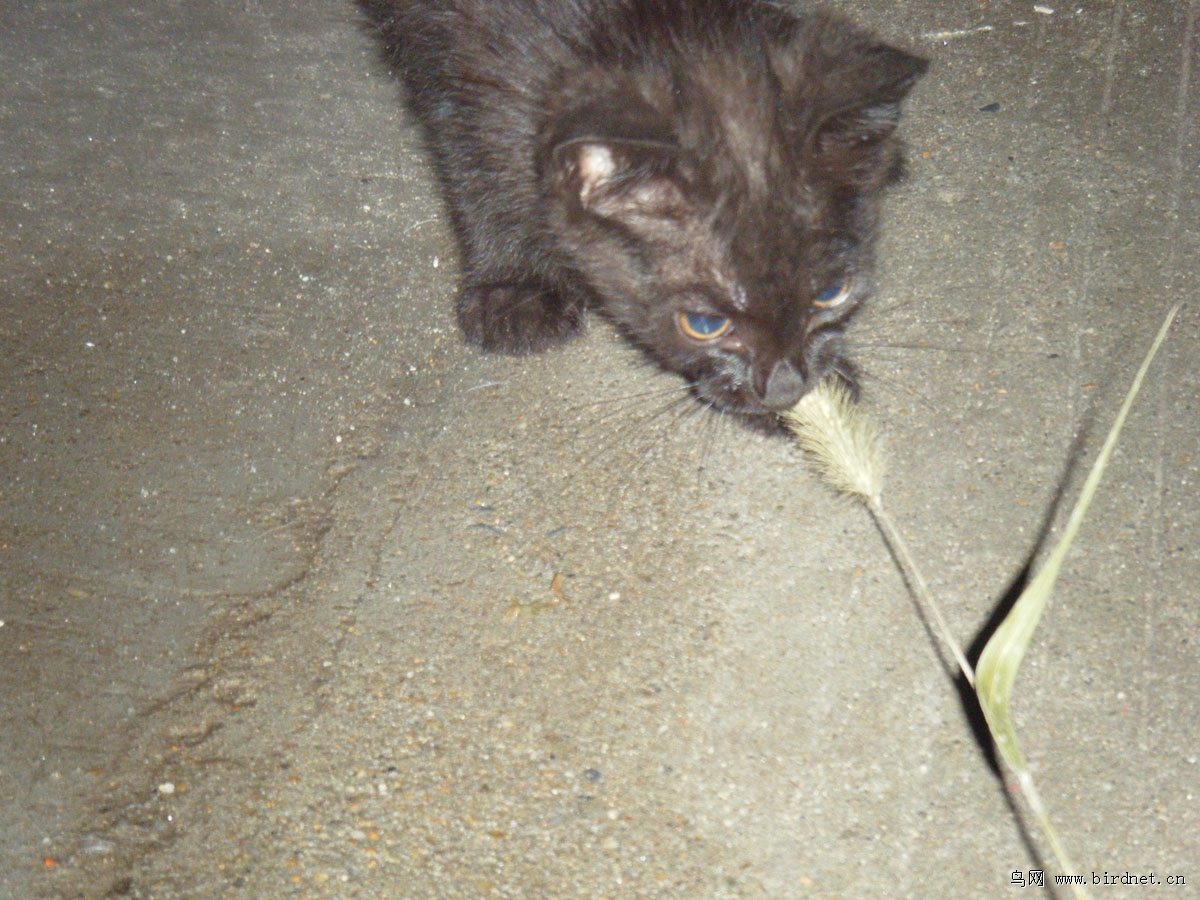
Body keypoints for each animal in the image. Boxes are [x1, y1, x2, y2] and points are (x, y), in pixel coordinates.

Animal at [355, 0, 926, 415]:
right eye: (704, 323)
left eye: (831, 293)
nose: (784, 391)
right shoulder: (458, 54)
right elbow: (471, 151)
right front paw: (513, 286)